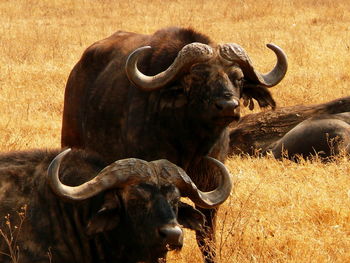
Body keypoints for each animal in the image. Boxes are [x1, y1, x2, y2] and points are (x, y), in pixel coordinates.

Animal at [60, 26, 288, 262]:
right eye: (197, 77)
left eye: (239, 78)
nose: (228, 105)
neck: (191, 144)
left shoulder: (210, 191)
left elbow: (206, 239)